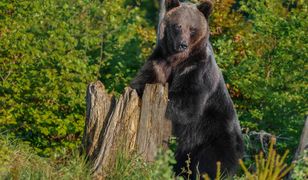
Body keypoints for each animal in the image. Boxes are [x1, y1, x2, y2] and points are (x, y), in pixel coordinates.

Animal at [130, 0, 243, 179]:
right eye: (178, 26)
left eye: (192, 29)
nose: (182, 45)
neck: (176, 60)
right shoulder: (158, 63)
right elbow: (142, 81)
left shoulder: (197, 70)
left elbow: (186, 104)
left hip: (214, 136)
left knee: (210, 165)